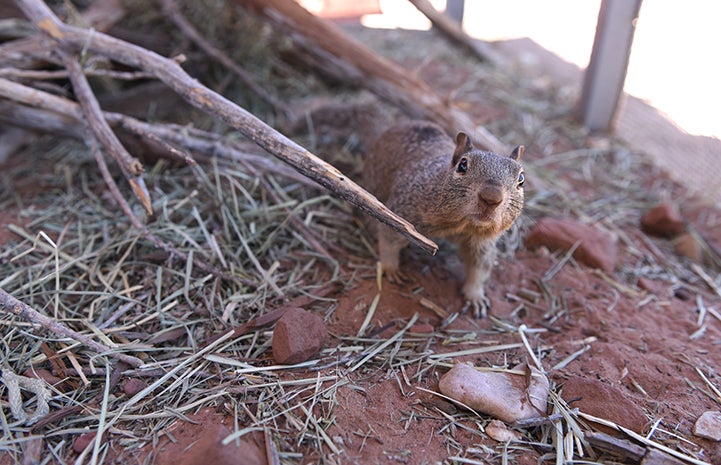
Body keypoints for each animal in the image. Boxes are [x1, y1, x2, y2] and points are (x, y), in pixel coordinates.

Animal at [360, 119, 524, 318]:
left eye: (521, 179)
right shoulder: (402, 211)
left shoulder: (482, 243)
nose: (491, 198)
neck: (462, 225)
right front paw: (391, 268)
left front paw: (476, 296)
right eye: (463, 165)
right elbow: (388, 238)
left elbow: (479, 268)